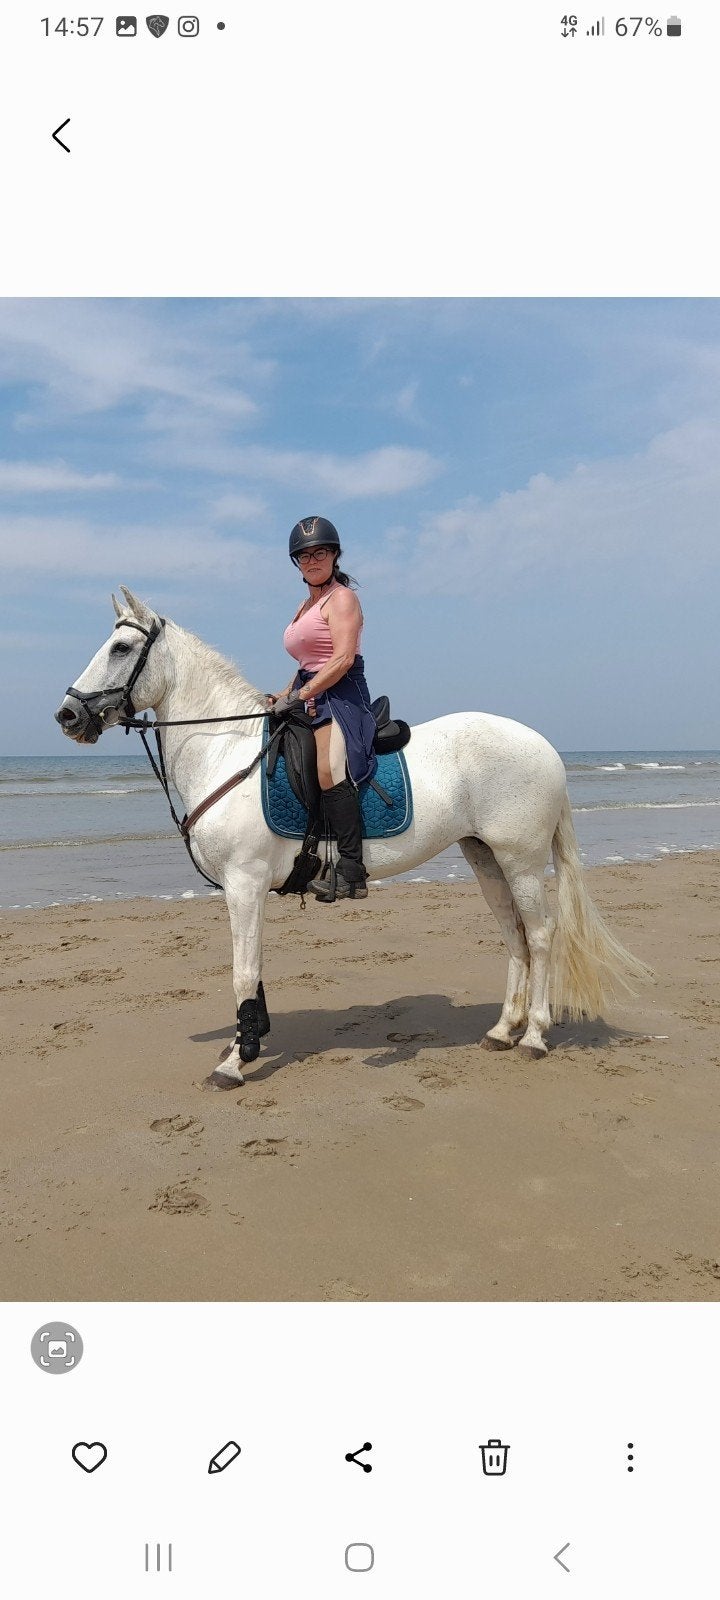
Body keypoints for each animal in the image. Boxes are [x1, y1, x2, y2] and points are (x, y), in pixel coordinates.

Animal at [55, 587, 651, 1088]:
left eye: (121, 647)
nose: (67, 714)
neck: (228, 748)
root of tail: (545, 746)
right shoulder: (244, 891)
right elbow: (254, 972)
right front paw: (250, 1041)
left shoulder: (244, 884)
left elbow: (243, 973)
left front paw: (235, 1062)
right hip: (485, 858)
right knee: (515, 936)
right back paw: (503, 1030)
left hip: (521, 860)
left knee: (542, 936)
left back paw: (534, 1036)